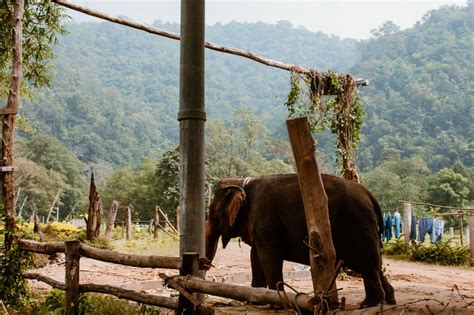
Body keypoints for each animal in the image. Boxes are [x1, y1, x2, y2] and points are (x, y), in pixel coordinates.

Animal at [206, 173, 394, 308]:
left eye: (212, 212)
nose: (204, 263)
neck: (243, 182)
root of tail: (370, 195)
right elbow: (255, 257)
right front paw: (255, 300)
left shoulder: (266, 221)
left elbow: (268, 256)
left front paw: (275, 303)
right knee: (370, 264)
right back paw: (388, 300)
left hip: (358, 223)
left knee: (366, 262)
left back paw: (369, 304)